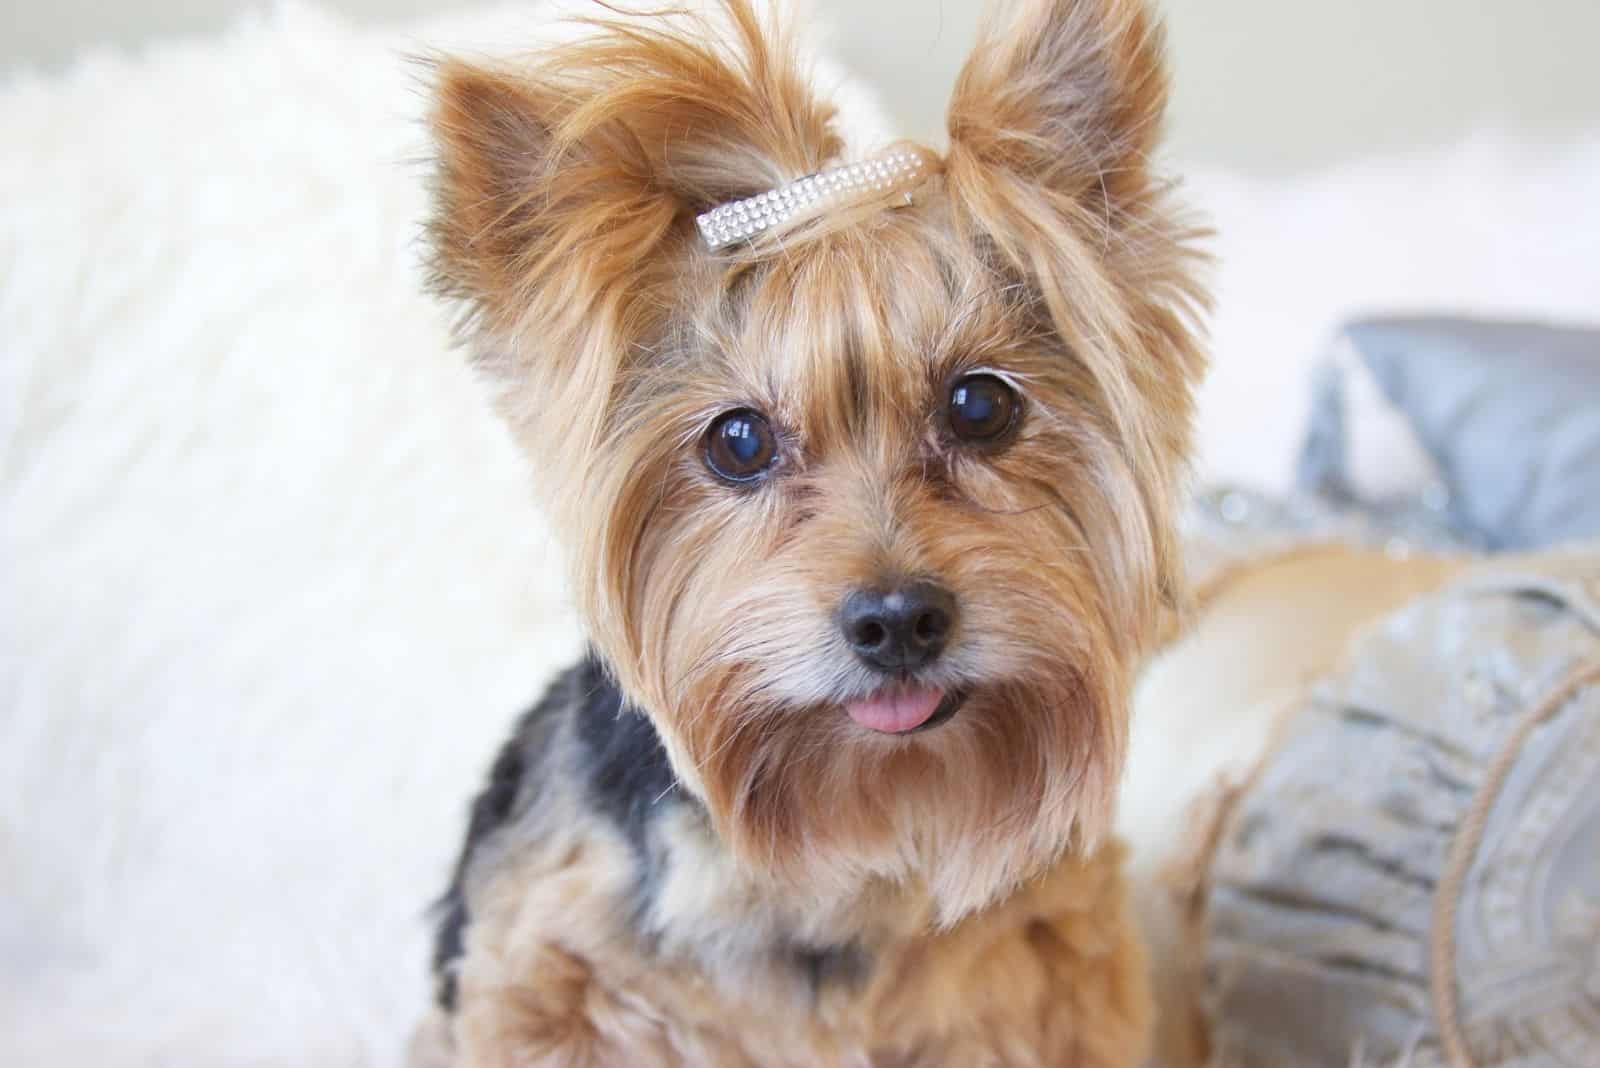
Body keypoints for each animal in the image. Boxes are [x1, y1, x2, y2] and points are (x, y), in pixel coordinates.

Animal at [412, 4, 1203, 1061]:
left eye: (980, 405)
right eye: (739, 441)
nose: (898, 621)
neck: (864, 827)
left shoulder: (1048, 977)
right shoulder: (548, 976)